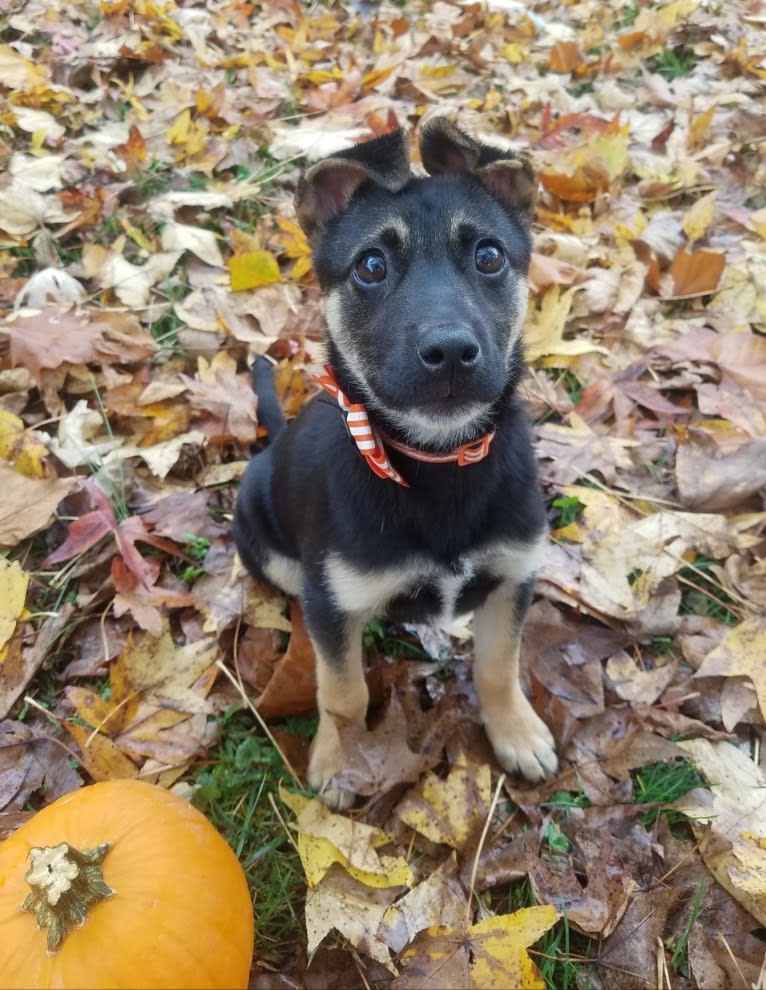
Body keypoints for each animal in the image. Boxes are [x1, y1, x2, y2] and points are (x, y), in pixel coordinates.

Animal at [234, 118, 560, 812]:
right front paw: (339, 761)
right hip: (270, 544)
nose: (451, 352)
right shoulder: (335, 601)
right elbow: (343, 692)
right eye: (371, 266)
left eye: (489, 256)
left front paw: (516, 732)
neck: (438, 463)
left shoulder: (514, 574)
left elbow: (498, 666)